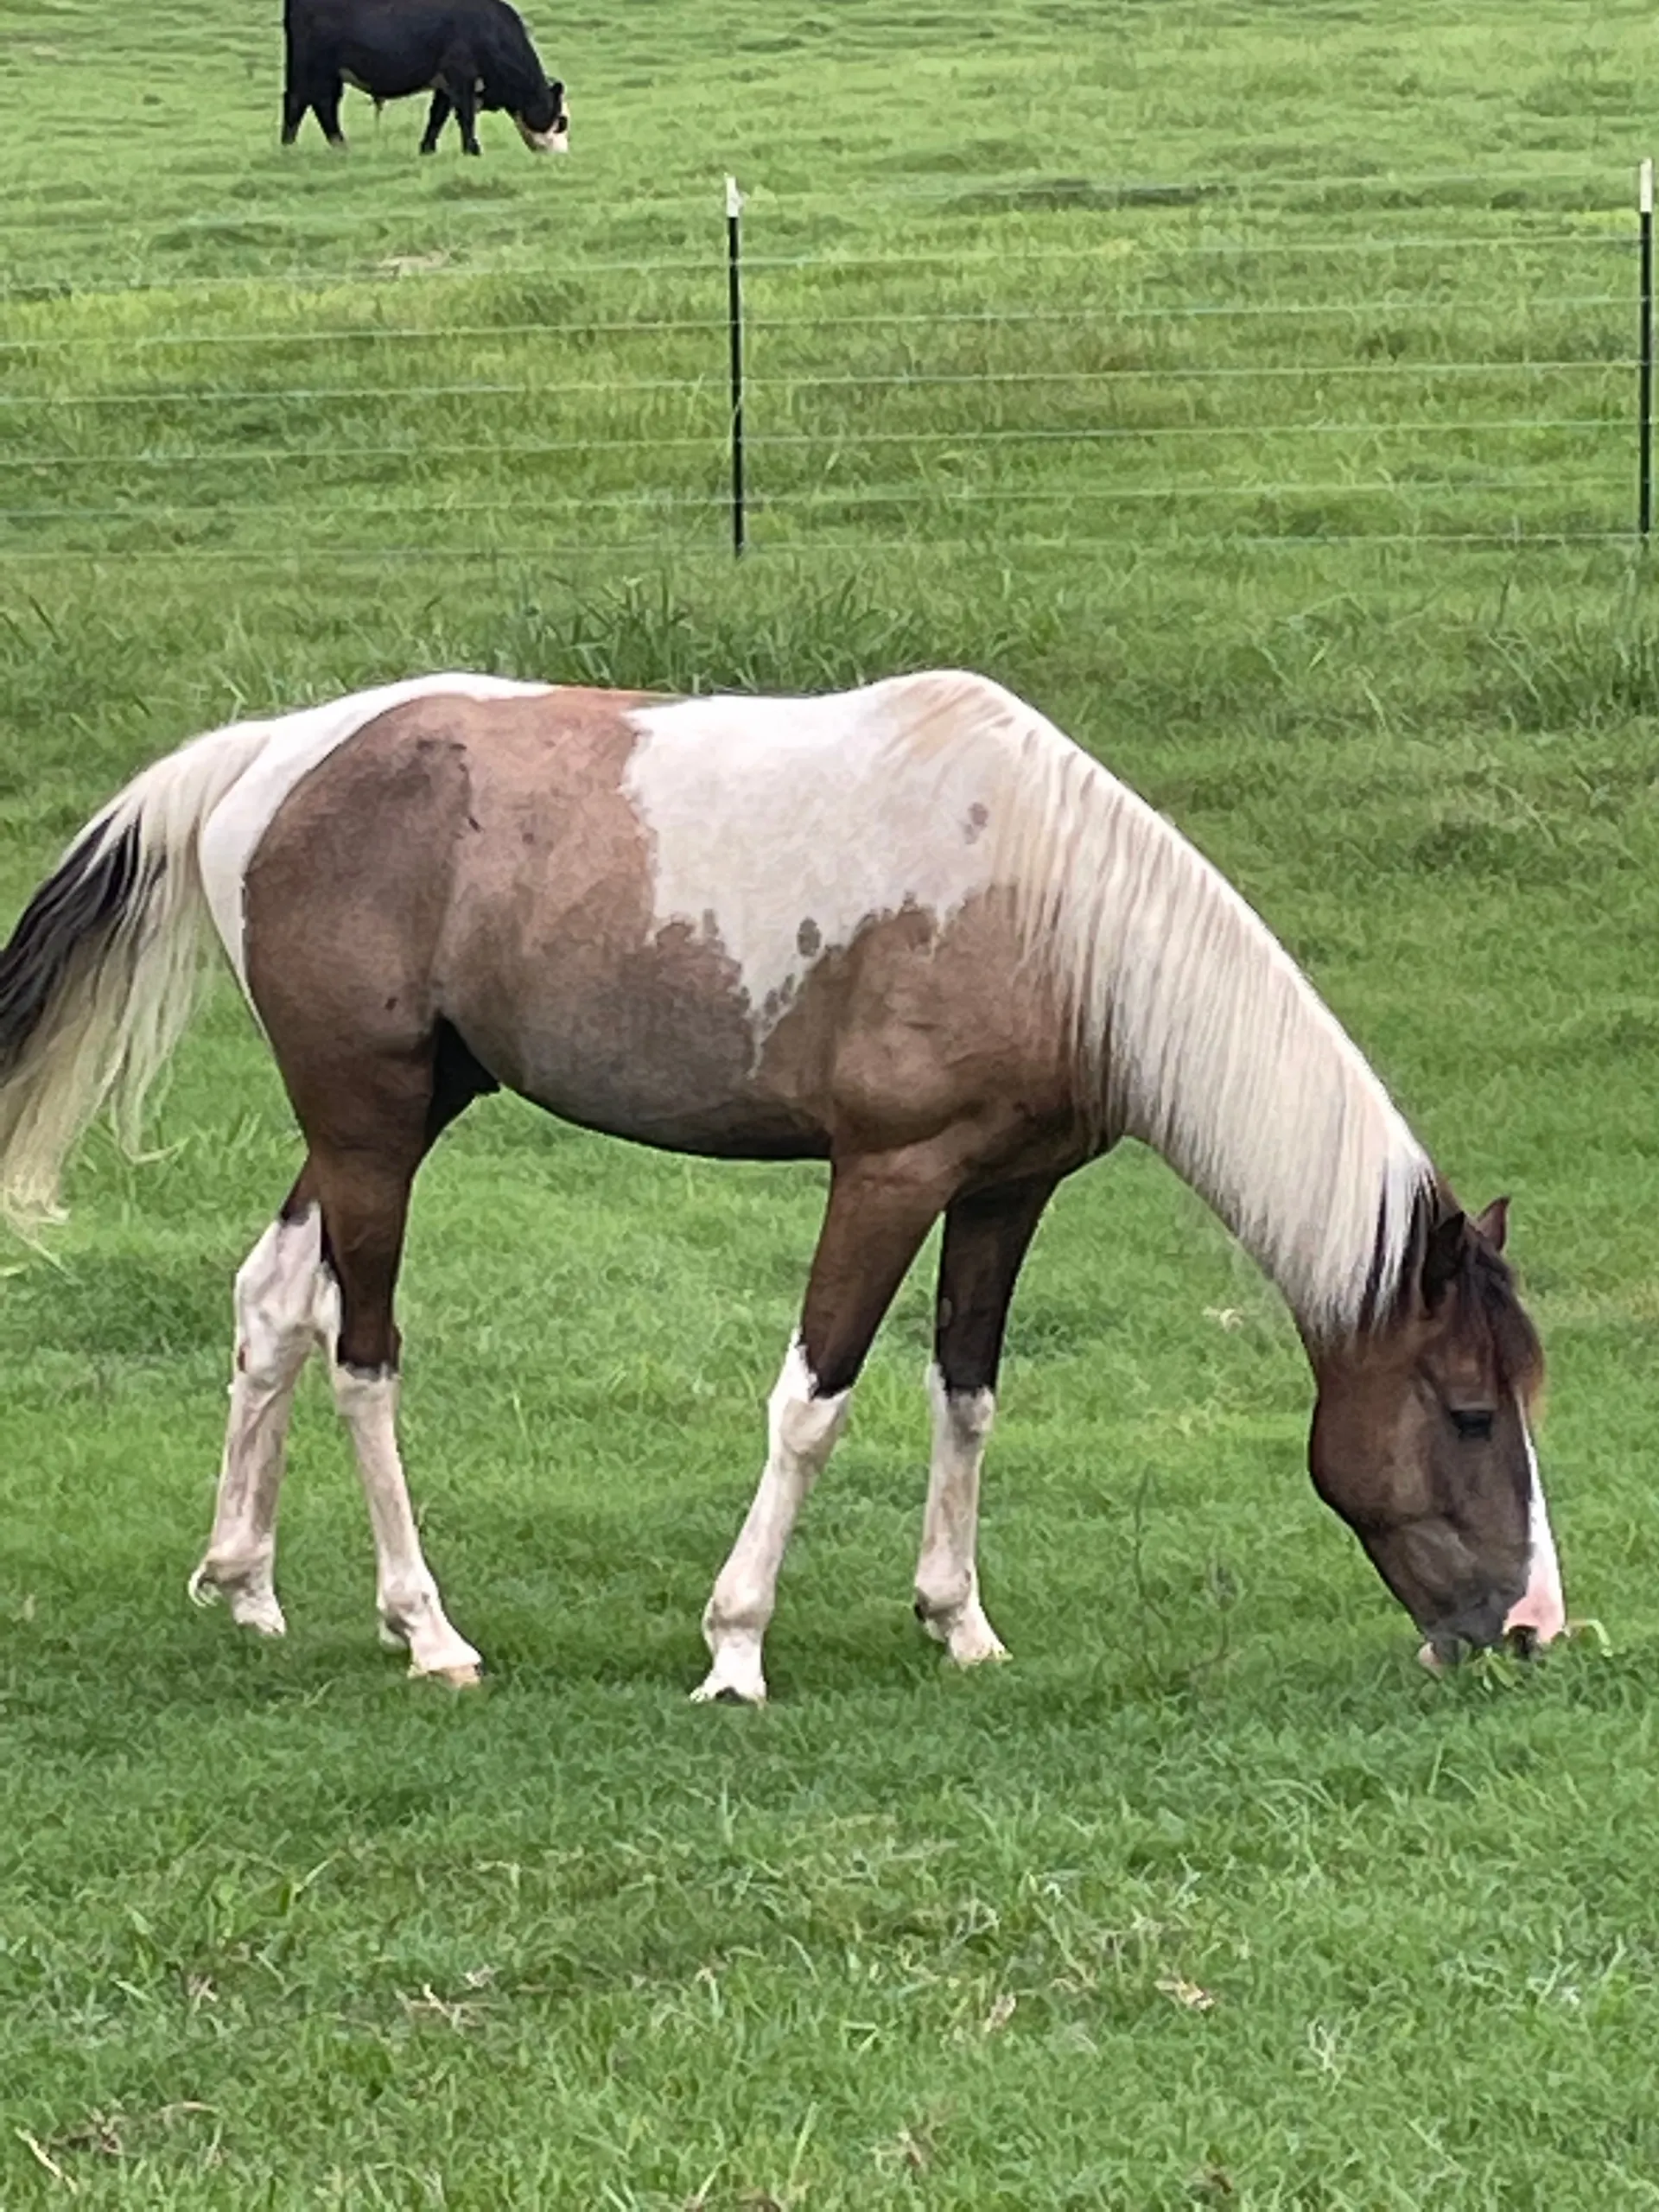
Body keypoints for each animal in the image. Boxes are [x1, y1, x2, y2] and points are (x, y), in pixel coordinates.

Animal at [0, 670, 1566, 1697]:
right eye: (1469, 1413)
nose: (1534, 1625)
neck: (1050, 909)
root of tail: (270, 756)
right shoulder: (885, 1176)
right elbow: (814, 1404)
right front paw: (736, 1645)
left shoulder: (1004, 1192)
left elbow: (968, 1395)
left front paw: (960, 1624)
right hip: (373, 1126)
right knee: (361, 1355)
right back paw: (427, 1632)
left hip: (385, 1120)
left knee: (272, 1303)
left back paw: (245, 1585)